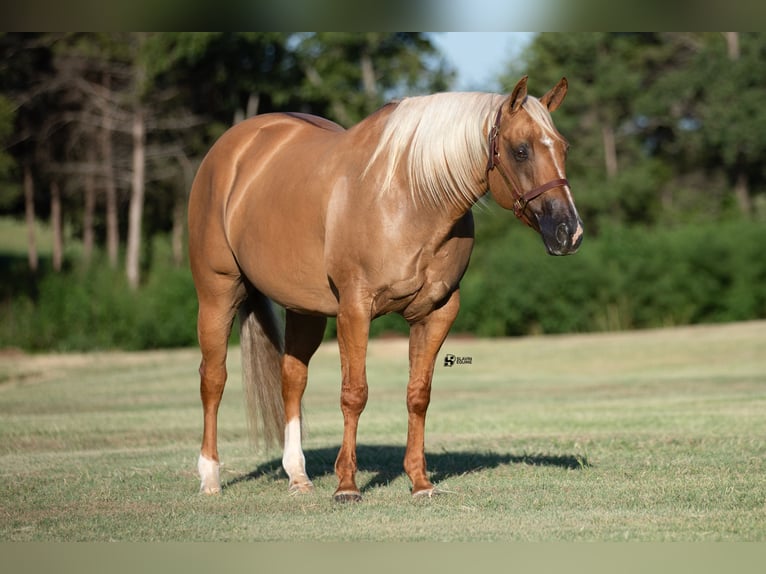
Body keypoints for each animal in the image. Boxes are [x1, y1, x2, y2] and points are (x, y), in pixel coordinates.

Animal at [189, 77, 584, 504]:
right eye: (521, 150)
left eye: (563, 147)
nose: (569, 232)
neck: (411, 196)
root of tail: (231, 149)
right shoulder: (355, 309)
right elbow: (354, 393)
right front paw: (347, 486)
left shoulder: (437, 312)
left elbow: (418, 394)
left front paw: (420, 482)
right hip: (217, 293)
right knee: (213, 379)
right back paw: (210, 477)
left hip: (304, 309)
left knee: (292, 379)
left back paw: (298, 475)